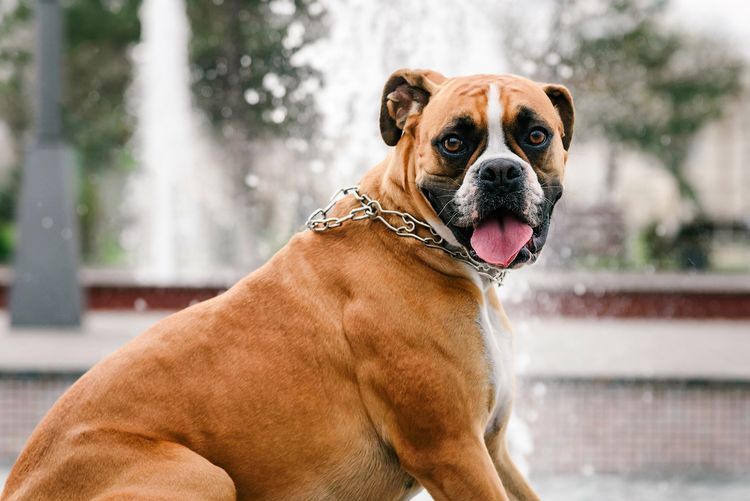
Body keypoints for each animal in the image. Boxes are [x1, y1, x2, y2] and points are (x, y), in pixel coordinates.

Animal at [1, 70, 576, 500]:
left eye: (536, 136)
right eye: (453, 143)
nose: (499, 171)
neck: (419, 234)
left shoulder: (492, 448)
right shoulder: (450, 448)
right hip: (203, 475)